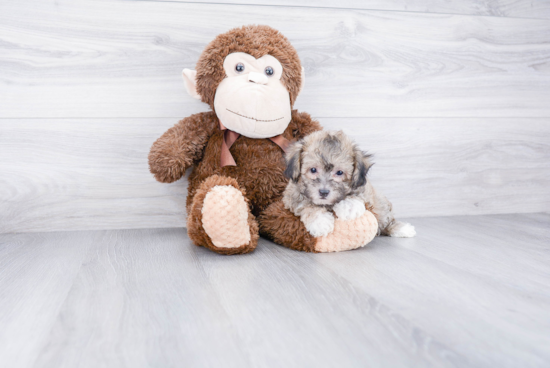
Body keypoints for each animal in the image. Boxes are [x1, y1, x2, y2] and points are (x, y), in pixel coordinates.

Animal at [282, 130, 416, 239]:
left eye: (339, 172)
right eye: (313, 170)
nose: (324, 192)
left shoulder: (363, 189)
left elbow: (356, 194)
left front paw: (348, 207)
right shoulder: (292, 195)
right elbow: (305, 205)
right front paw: (320, 222)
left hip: (381, 206)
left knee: (386, 220)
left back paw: (403, 229)